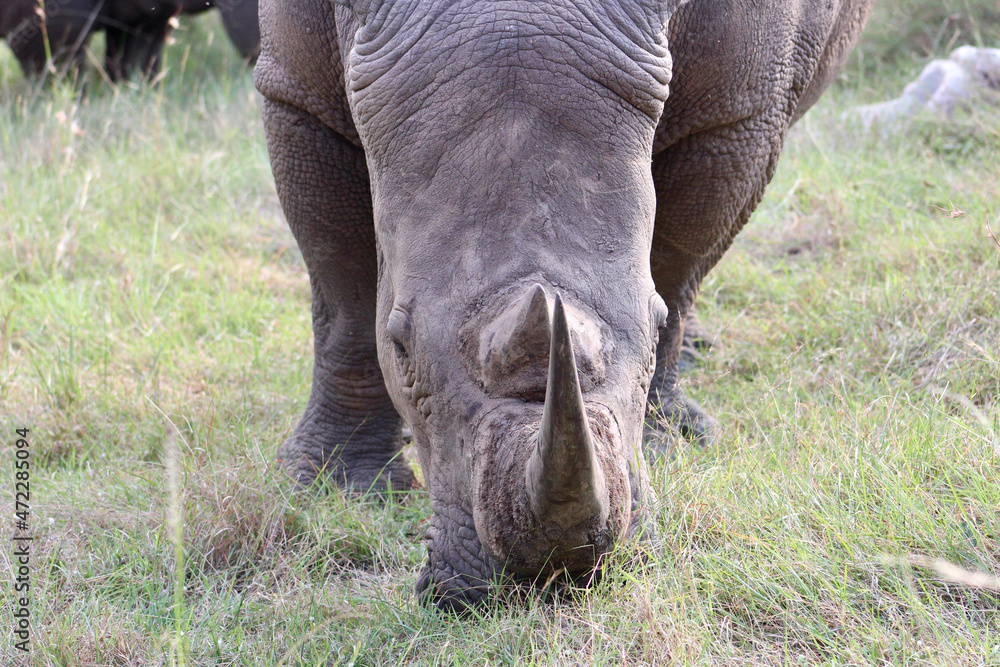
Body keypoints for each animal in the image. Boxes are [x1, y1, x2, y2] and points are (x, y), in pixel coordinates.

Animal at [255, 0, 873, 610]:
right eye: (400, 346)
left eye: (654, 329)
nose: (552, 575)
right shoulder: (296, 95)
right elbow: (348, 293)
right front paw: (336, 485)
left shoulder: (736, 115)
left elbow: (677, 266)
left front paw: (663, 444)